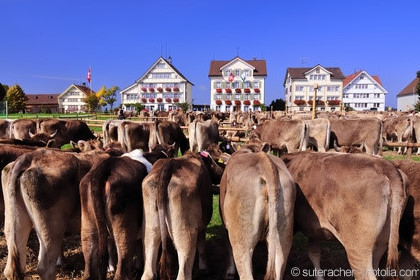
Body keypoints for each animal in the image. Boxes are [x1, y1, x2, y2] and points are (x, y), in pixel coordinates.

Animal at [141, 151, 225, 280]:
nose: (221, 171)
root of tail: (169, 166)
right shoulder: (202, 224)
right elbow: (202, 247)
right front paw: (204, 268)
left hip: (150, 228)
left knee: (148, 272)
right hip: (185, 232)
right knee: (183, 274)